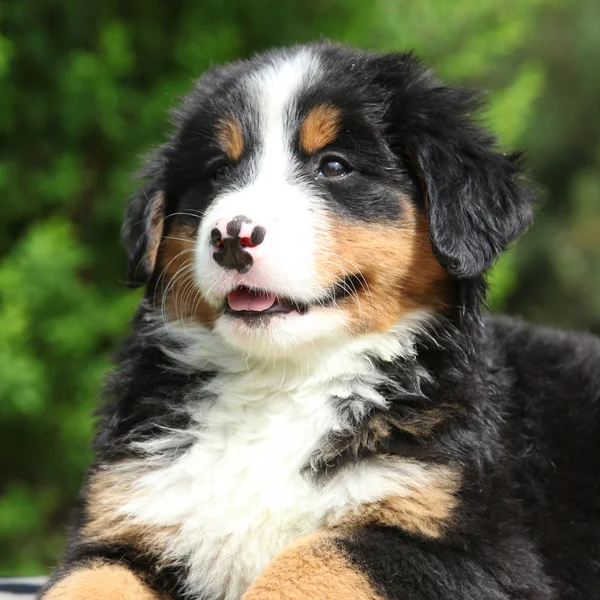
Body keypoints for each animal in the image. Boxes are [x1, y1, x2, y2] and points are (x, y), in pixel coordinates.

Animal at [38, 42, 600, 600]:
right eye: (218, 170)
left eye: (333, 165)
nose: (231, 237)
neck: (281, 379)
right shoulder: (125, 521)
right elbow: (88, 581)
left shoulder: (470, 547)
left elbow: (311, 560)